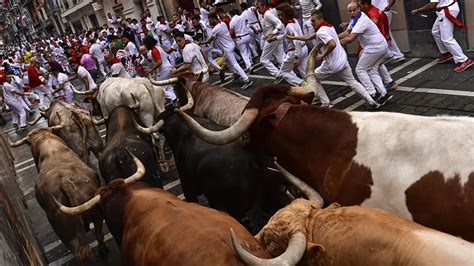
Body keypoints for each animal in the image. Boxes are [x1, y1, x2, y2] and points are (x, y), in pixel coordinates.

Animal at [8, 125, 106, 266]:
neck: (48, 143)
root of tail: (65, 182)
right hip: (95, 214)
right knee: (97, 236)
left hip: (63, 229)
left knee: (79, 251)